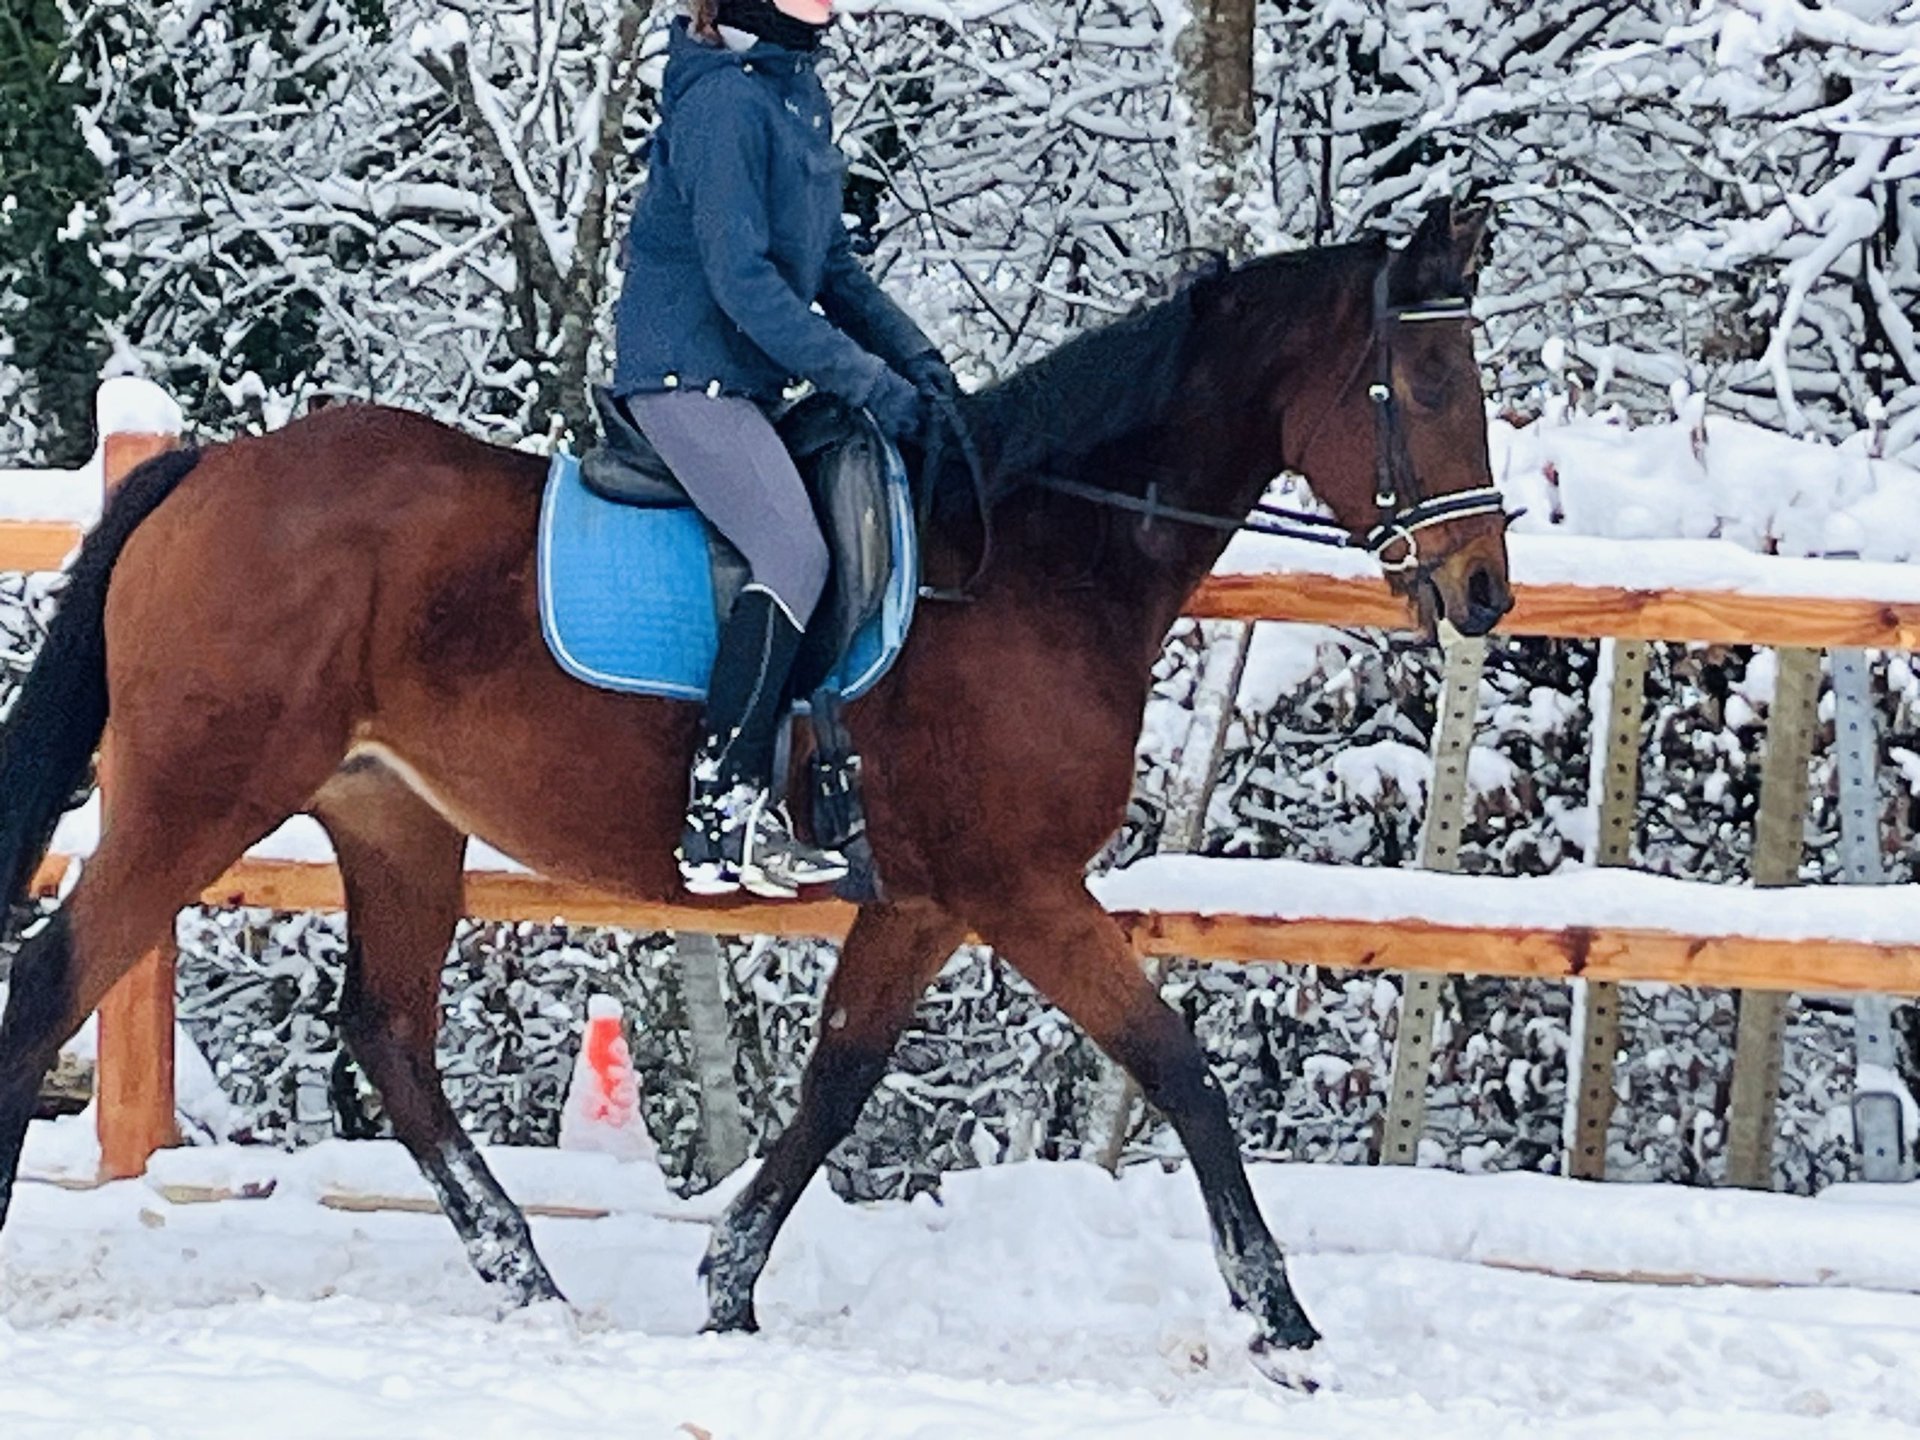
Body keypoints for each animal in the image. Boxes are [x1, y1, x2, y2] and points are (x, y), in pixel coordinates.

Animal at [0, 200, 1505, 1374]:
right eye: (1430, 383)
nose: (1485, 589)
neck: (1034, 558)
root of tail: (208, 470)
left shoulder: (927, 899)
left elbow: (839, 1077)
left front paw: (726, 1284)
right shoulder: (1020, 886)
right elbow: (1178, 1067)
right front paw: (1283, 1321)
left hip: (394, 819)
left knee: (390, 1037)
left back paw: (532, 1282)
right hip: (200, 794)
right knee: (56, 978)